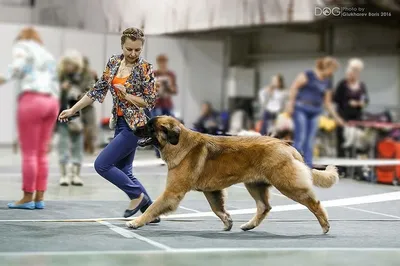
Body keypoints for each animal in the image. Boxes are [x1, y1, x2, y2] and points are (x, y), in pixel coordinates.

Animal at [127, 115, 338, 234]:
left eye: (150, 127)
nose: (134, 129)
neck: (179, 143)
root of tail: (287, 146)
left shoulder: (172, 192)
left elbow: (153, 207)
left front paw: (136, 222)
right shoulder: (212, 191)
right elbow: (217, 208)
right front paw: (228, 222)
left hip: (287, 184)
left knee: (314, 202)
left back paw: (325, 225)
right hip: (255, 185)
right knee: (264, 207)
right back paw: (249, 225)